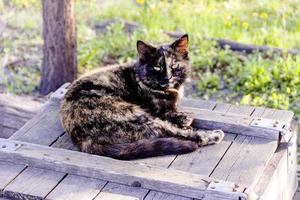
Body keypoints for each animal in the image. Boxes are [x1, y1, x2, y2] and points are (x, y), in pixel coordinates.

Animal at [59, 34, 224, 159]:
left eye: (174, 66)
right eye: (157, 68)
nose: (167, 78)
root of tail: (82, 139)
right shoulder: (159, 112)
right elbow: (172, 114)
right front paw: (184, 117)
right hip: (138, 116)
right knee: (179, 134)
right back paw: (213, 135)